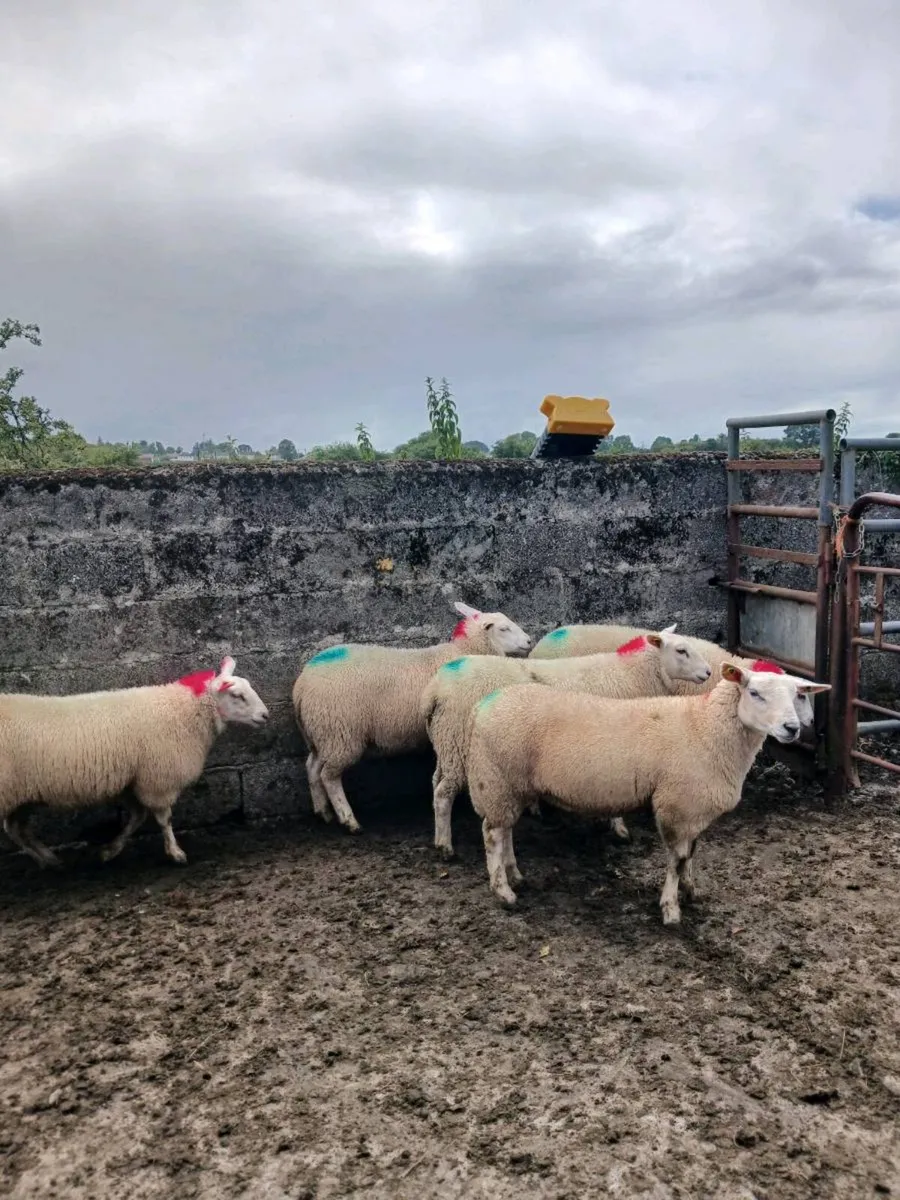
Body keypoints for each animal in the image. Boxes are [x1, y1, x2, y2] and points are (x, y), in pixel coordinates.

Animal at [0, 657, 269, 869]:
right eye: (237, 695)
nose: (265, 715)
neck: (185, 710)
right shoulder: (158, 780)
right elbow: (164, 819)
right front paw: (176, 853)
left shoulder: (134, 780)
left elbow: (137, 818)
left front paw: (110, 850)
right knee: (15, 829)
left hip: (21, 794)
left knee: (15, 829)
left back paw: (48, 859)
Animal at [292, 601, 532, 834]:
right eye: (503, 628)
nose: (529, 641)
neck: (465, 650)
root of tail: (301, 684)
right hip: (340, 733)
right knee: (329, 776)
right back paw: (349, 821)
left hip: (321, 733)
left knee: (312, 767)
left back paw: (323, 812)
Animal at [421, 624, 713, 857]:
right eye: (682, 651)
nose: (709, 672)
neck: (631, 673)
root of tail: (435, 690)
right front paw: (619, 828)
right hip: (458, 743)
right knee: (444, 793)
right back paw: (445, 847)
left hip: (445, 743)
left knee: (435, 783)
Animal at [467, 662, 830, 925]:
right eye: (754, 692)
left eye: (797, 695)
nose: (791, 729)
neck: (706, 727)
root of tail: (483, 705)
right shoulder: (677, 805)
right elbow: (677, 859)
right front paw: (670, 909)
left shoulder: (694, 808)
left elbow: (692, 853)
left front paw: (691, 890)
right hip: (496, 777)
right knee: (492, 834)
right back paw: (503, 892)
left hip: (508, 784)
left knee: (505, 829)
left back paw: (515, 875)